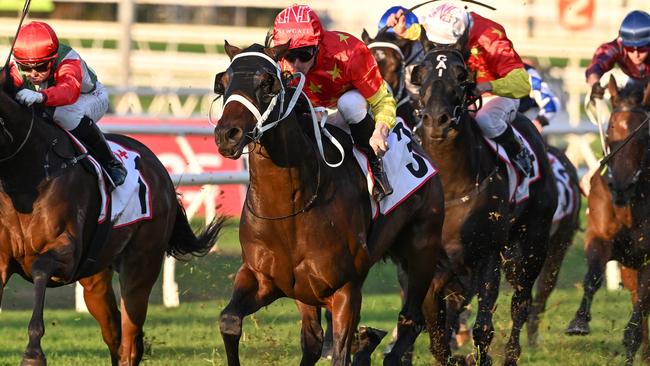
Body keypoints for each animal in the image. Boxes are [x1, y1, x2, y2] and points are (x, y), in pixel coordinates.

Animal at [0, 69, 224, 366]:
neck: (27, 177)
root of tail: (160, 170)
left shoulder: (67, 253)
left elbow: (40, 268)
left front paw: (33, 354)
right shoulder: (3, 257)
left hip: (141, 266)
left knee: (129, 339)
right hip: (95, 276)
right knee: (114, 334)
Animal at [213, 42, 446, 366]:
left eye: (268, 83)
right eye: (223, 83)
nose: (227, 135)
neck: (291, 209)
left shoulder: (345, 290)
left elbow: (340, 352)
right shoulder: (264, 279)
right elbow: (229, 321)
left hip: (421, 248)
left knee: (412, 318)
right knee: (313, 339)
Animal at [412, 46, 556, 366]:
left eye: (461, 75)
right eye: (421, 71)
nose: (436, 120)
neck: (452, 185)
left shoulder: (488, 253)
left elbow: (483, 327)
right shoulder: (438, 261)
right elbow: (436, 326)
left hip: (534, 241)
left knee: (521, 300)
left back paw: (511, 354)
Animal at [560, 76, 648, 364]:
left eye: (643, 133)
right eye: (610, 127)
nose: (619, 186)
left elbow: (641, 308)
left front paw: (630, 340)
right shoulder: (600, 237)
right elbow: (593, 276)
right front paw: (579, 321)